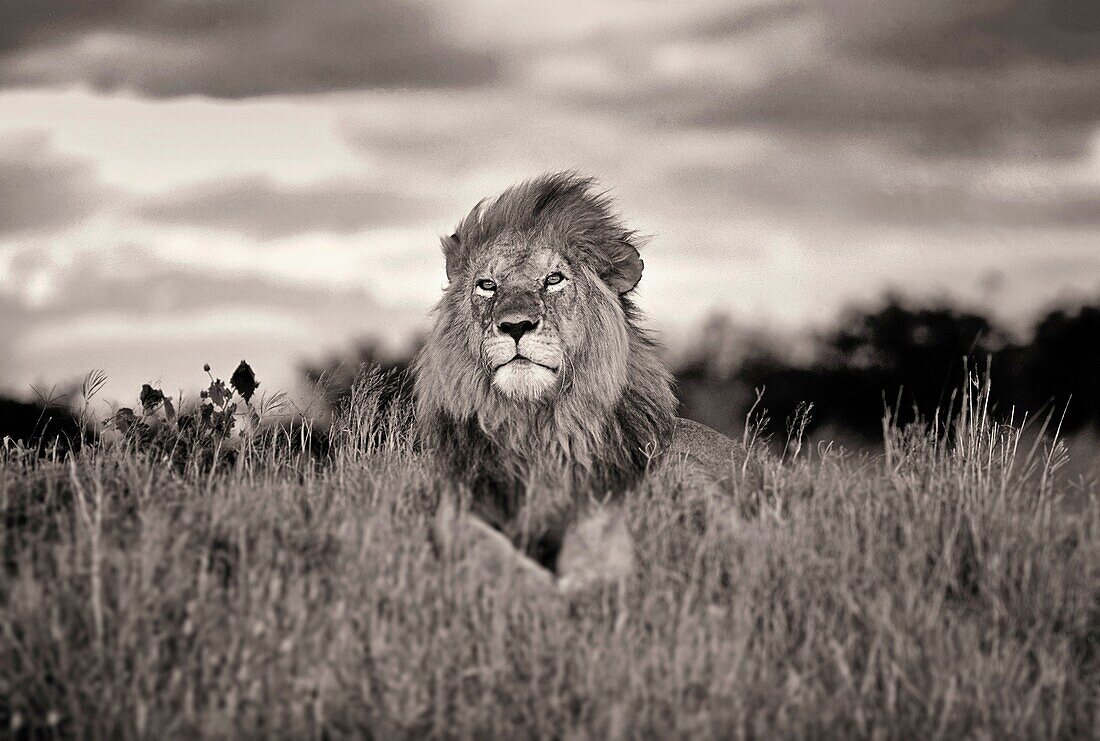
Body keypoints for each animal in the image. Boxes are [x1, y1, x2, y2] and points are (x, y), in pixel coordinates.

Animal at [415, 171, 734, 589]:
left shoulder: (605, 507)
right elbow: (491, 554)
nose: (515, 325)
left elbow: (599, 560)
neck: (534, 426)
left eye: (554, 279)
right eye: (487, 285)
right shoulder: (458, 506)